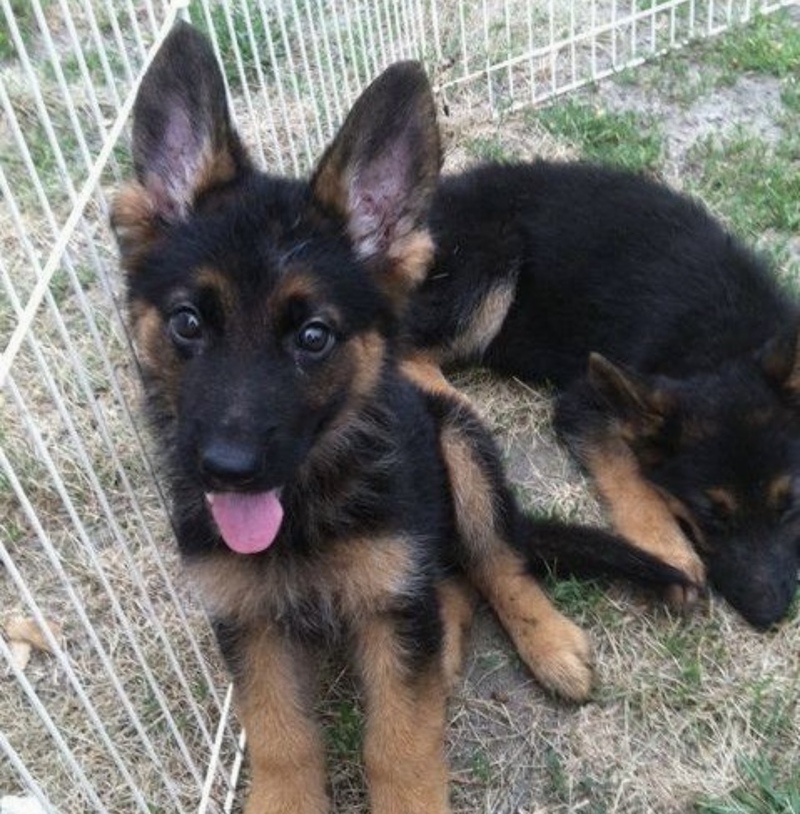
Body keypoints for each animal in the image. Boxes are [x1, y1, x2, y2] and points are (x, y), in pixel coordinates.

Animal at [113, 24, 688, 814]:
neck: (308, 510)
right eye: (188, 323)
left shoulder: (392, 608)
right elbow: (281, 740)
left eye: (313, 337)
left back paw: (548, 643)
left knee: (497, 562)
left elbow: (401, 746)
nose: (227, 470)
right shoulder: (250, 623)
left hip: (460, 446)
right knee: (453, 585)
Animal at [406, 159, 800, 630]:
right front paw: (670, 552)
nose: (769, 615)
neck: (723, 342)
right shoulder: (587, 400)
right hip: (491, 260)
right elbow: (630, 476)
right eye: (709, 514)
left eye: (790, 504)